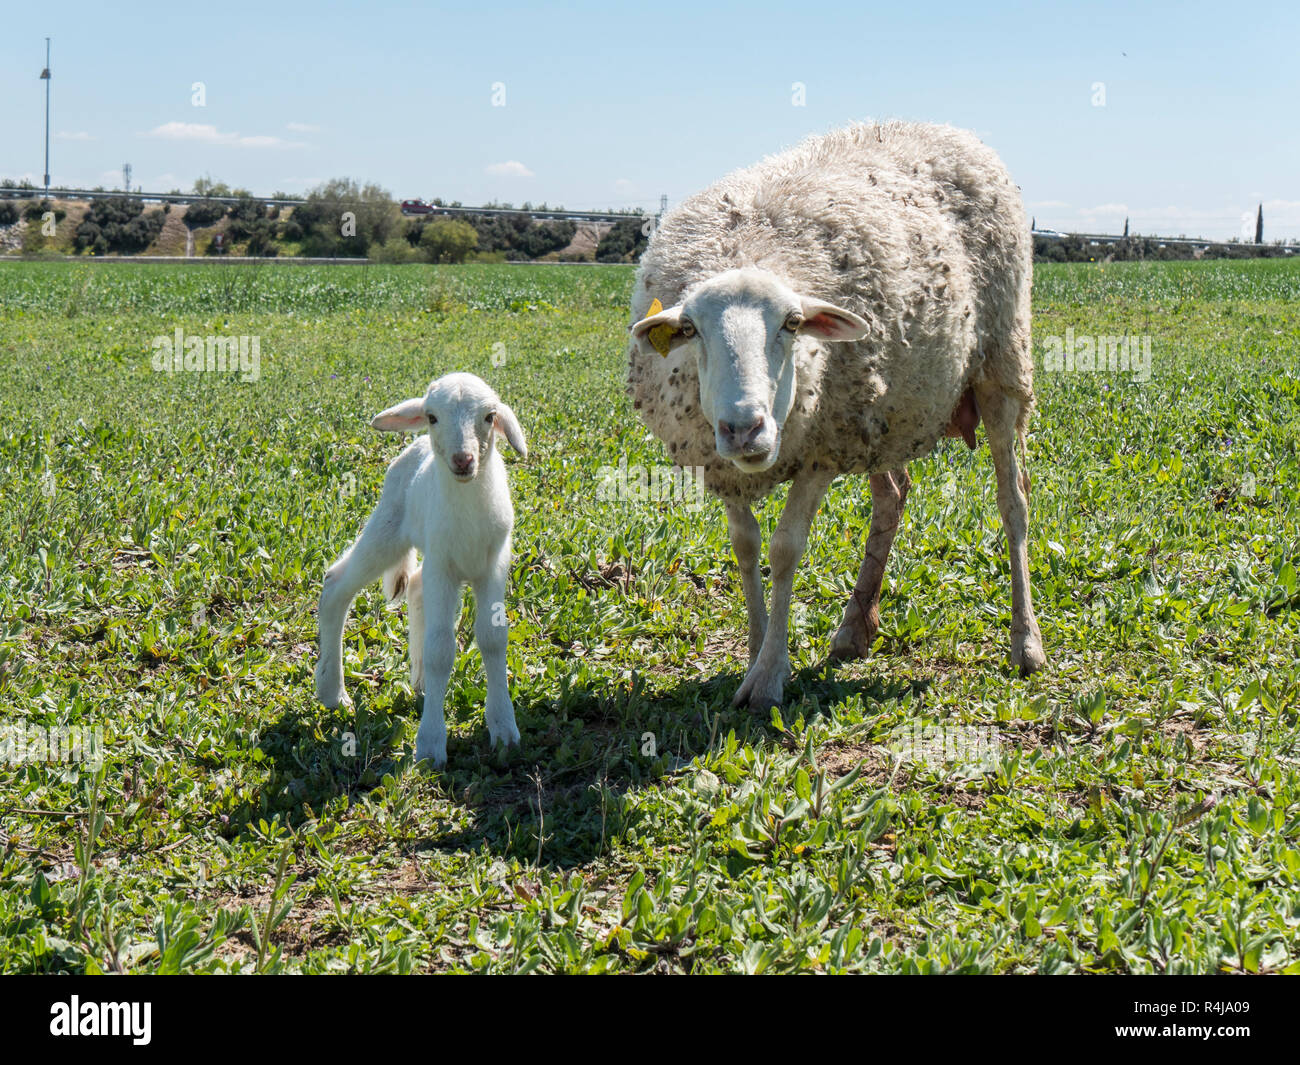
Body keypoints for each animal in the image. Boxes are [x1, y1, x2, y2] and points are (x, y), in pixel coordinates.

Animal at [314, 372, 527, 767]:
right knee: (336, 584)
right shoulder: (443, 565)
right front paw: (430, 745)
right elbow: (441, 649)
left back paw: (421, 681)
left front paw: (504, 729)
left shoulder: (493, 564)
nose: (463, 460)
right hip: (389, 527)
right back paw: (332, 691)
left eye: (490, 416)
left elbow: (493, 638)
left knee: (413, 585)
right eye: (432, 417)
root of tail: (415, 447)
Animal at [628, 120, 1046, 710]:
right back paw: (854, 628)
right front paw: (755, 648)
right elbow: (745, 548)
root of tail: (949, 129)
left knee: (1014, 504)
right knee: (893, 495)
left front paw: (769, 676)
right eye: (690, 330)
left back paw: (1025, 643)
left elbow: (784, 550)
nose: (745, 428)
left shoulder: (821, 450)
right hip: (883, 412)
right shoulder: (722, 463)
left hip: (1000, 366)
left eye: (792, 323)